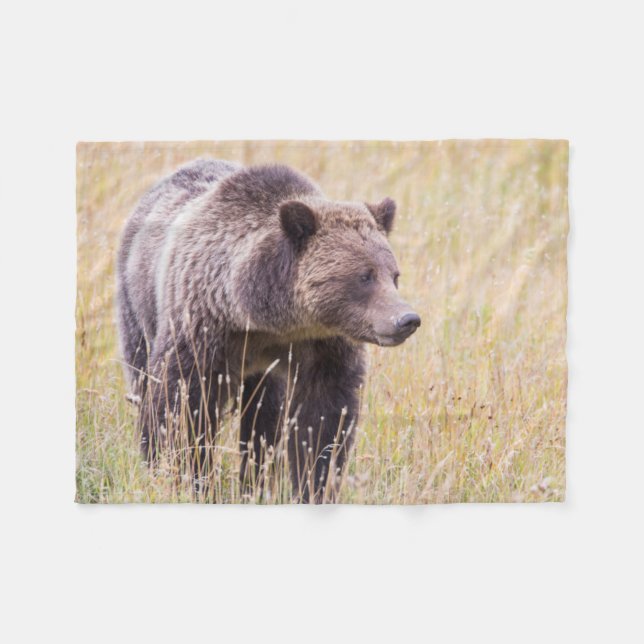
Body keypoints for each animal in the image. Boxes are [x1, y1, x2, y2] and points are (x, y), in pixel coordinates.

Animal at [116, 158, 420, 502]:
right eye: (365, 276)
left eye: (394, 275)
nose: (406, 319)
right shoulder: (202, 328)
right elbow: (178, 408)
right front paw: (184, 477)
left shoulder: (321, 347)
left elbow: (323, 421)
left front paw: (314, 485)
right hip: (138, 306)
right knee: (143, 375)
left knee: (263, 422)